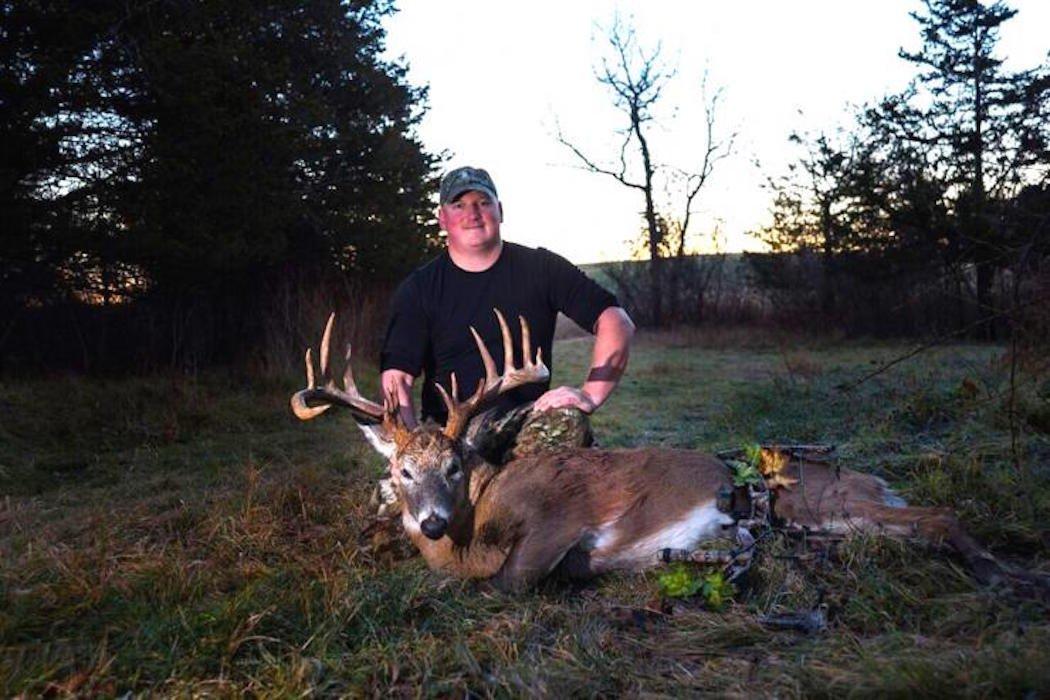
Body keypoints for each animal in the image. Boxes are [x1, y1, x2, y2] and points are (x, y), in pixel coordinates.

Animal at [290, 310, 1037, 593]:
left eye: (454, 466)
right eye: (400, 470)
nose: (432, 520)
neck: (478, 527)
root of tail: (866, 477)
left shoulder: (561, 516)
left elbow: (507, 583)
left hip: (825, 501)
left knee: (938, 515)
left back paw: (1005, 574)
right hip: (832, 521)